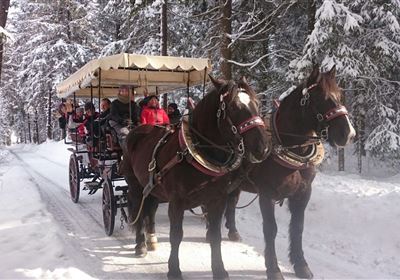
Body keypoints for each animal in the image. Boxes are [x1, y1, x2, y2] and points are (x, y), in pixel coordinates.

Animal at [123, 76, 270, 280]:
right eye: (233, 107)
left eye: (257, 103)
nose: (262, 147)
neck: (196, 152)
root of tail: (135, 131)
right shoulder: (177, 202)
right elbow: (176, 235)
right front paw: (174, 270)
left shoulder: (217, 200)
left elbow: (215, 235)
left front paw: (219, 270)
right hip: (135, 185)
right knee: (139, 209)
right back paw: (140, 244)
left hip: (152, 186)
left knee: (150, 210)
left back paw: (151, 239)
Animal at [222, 64, 356, 278]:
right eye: (321, 98)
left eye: (340, 95)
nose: (349, 134)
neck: (290, 146)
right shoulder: (266, 194)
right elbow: (271, 229)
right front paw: (273, 268)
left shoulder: (303, 193)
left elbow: (297, 228)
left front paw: (301, 265)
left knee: (232, 201)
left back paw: (233, 230)